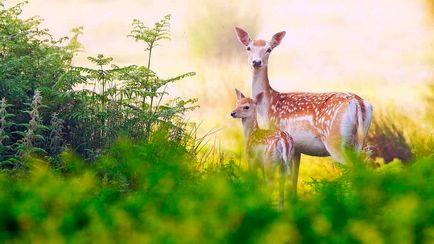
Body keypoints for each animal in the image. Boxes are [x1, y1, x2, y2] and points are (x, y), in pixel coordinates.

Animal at [234, 27, 372, 191]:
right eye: (248, 48)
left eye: (269, 49)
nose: (256, 62)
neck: (267, 105)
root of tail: (359, 103)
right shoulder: (297, 149)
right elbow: (293, 181)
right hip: (358, 141)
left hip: (336, 140)